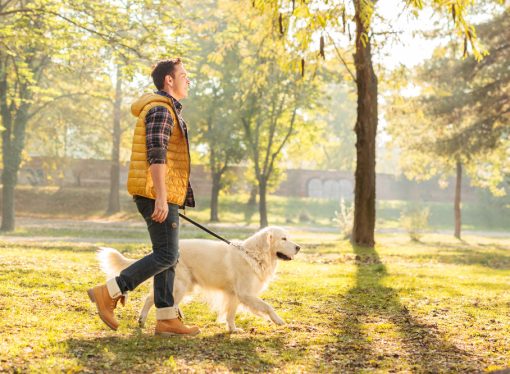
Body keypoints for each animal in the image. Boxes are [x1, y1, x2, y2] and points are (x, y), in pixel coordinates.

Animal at [96, 226, 298, 332]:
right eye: (284, 238)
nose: (299, 247)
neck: (254, 254)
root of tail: (162, 252)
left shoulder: (234, 295)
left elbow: (231, 314)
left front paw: (233, 329)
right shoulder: (245, 293)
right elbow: (267, 306)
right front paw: (278, 320)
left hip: (185, 287)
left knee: (160, 301)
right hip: (180, 285)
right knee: (151, 299)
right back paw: (145, 320)